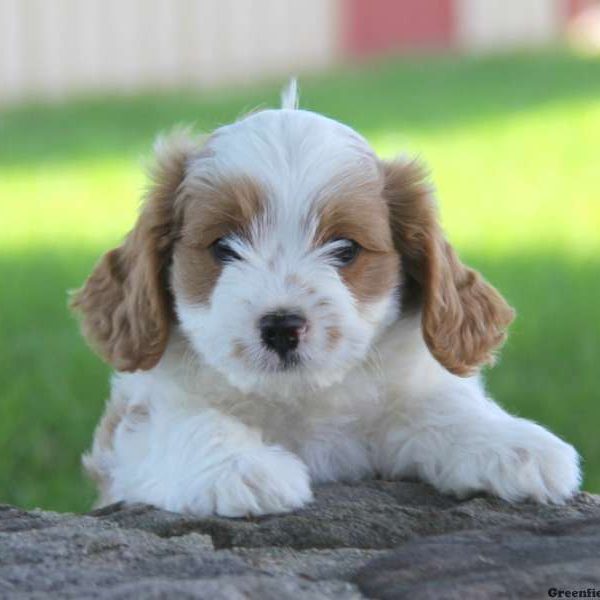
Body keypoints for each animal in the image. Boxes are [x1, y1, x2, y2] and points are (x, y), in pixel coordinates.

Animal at [71, 82, 580, 516]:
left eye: (346, 248)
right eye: (223, 247)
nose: (281, 327)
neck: (297, 400)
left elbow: (446, 407)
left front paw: (515, 444)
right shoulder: (131, 430)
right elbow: (184, 422)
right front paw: (241, 467)